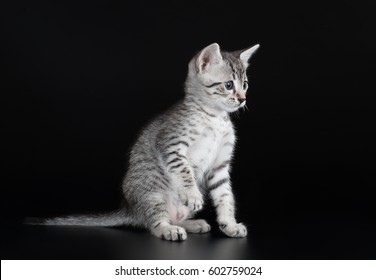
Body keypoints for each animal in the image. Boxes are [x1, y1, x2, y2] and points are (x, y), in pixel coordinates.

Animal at [26, 42, 260, 241]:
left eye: (245, 84)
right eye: (228, 85)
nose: (243, 99)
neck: (215, 118)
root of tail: (129, 209)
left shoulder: (220, 165)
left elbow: (225, 196)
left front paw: (230, 224)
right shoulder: (171, 145)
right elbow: (185, 172)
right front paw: (193, 194)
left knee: (171, 218)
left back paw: (192, 224)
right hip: (152, 193)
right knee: (153, 223)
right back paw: (168, 229)